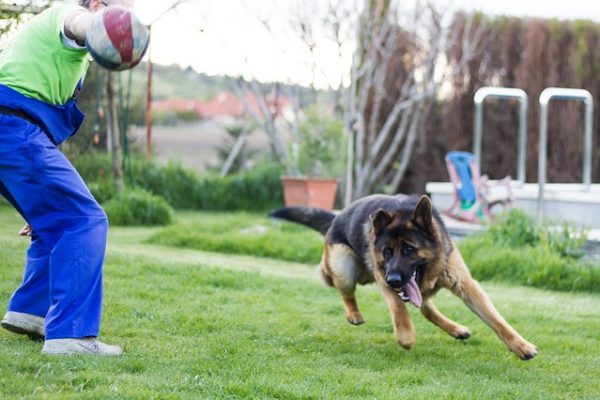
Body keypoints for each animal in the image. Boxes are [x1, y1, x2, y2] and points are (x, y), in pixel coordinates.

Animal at [272, 194, 540, 360]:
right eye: (387, 252)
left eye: (409, 249)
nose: (394, 280)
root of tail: (336, 217)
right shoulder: (384, 278)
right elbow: (398, 308)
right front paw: (406, 336)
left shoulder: (466, 285)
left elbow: (498, 321)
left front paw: (522, 346)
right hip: (346, 267)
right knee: (340, 286)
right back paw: (354, 313)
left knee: (427, 309)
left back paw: (456, 329)